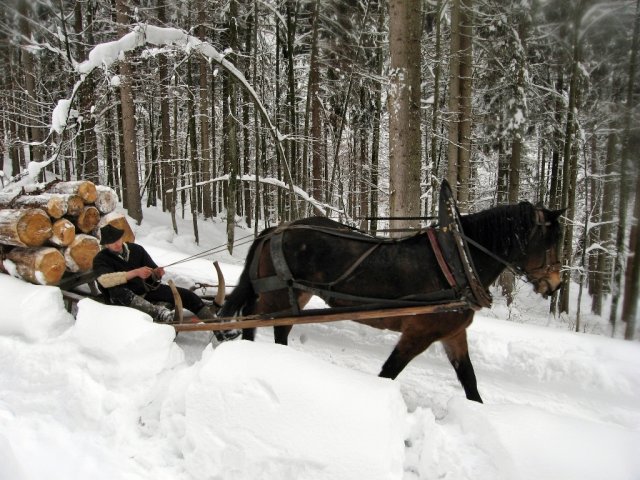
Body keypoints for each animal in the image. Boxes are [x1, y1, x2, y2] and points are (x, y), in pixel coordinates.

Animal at [219, 193, 560, 404]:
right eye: (549, 242)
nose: (555, 285)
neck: (458, 260)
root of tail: (276, 228)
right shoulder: (419, 332)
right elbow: (388, 373)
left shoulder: (452, 334)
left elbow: (469, 381)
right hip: (275, 294)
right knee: (250, 319)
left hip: (295, 295)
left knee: (277, 327)